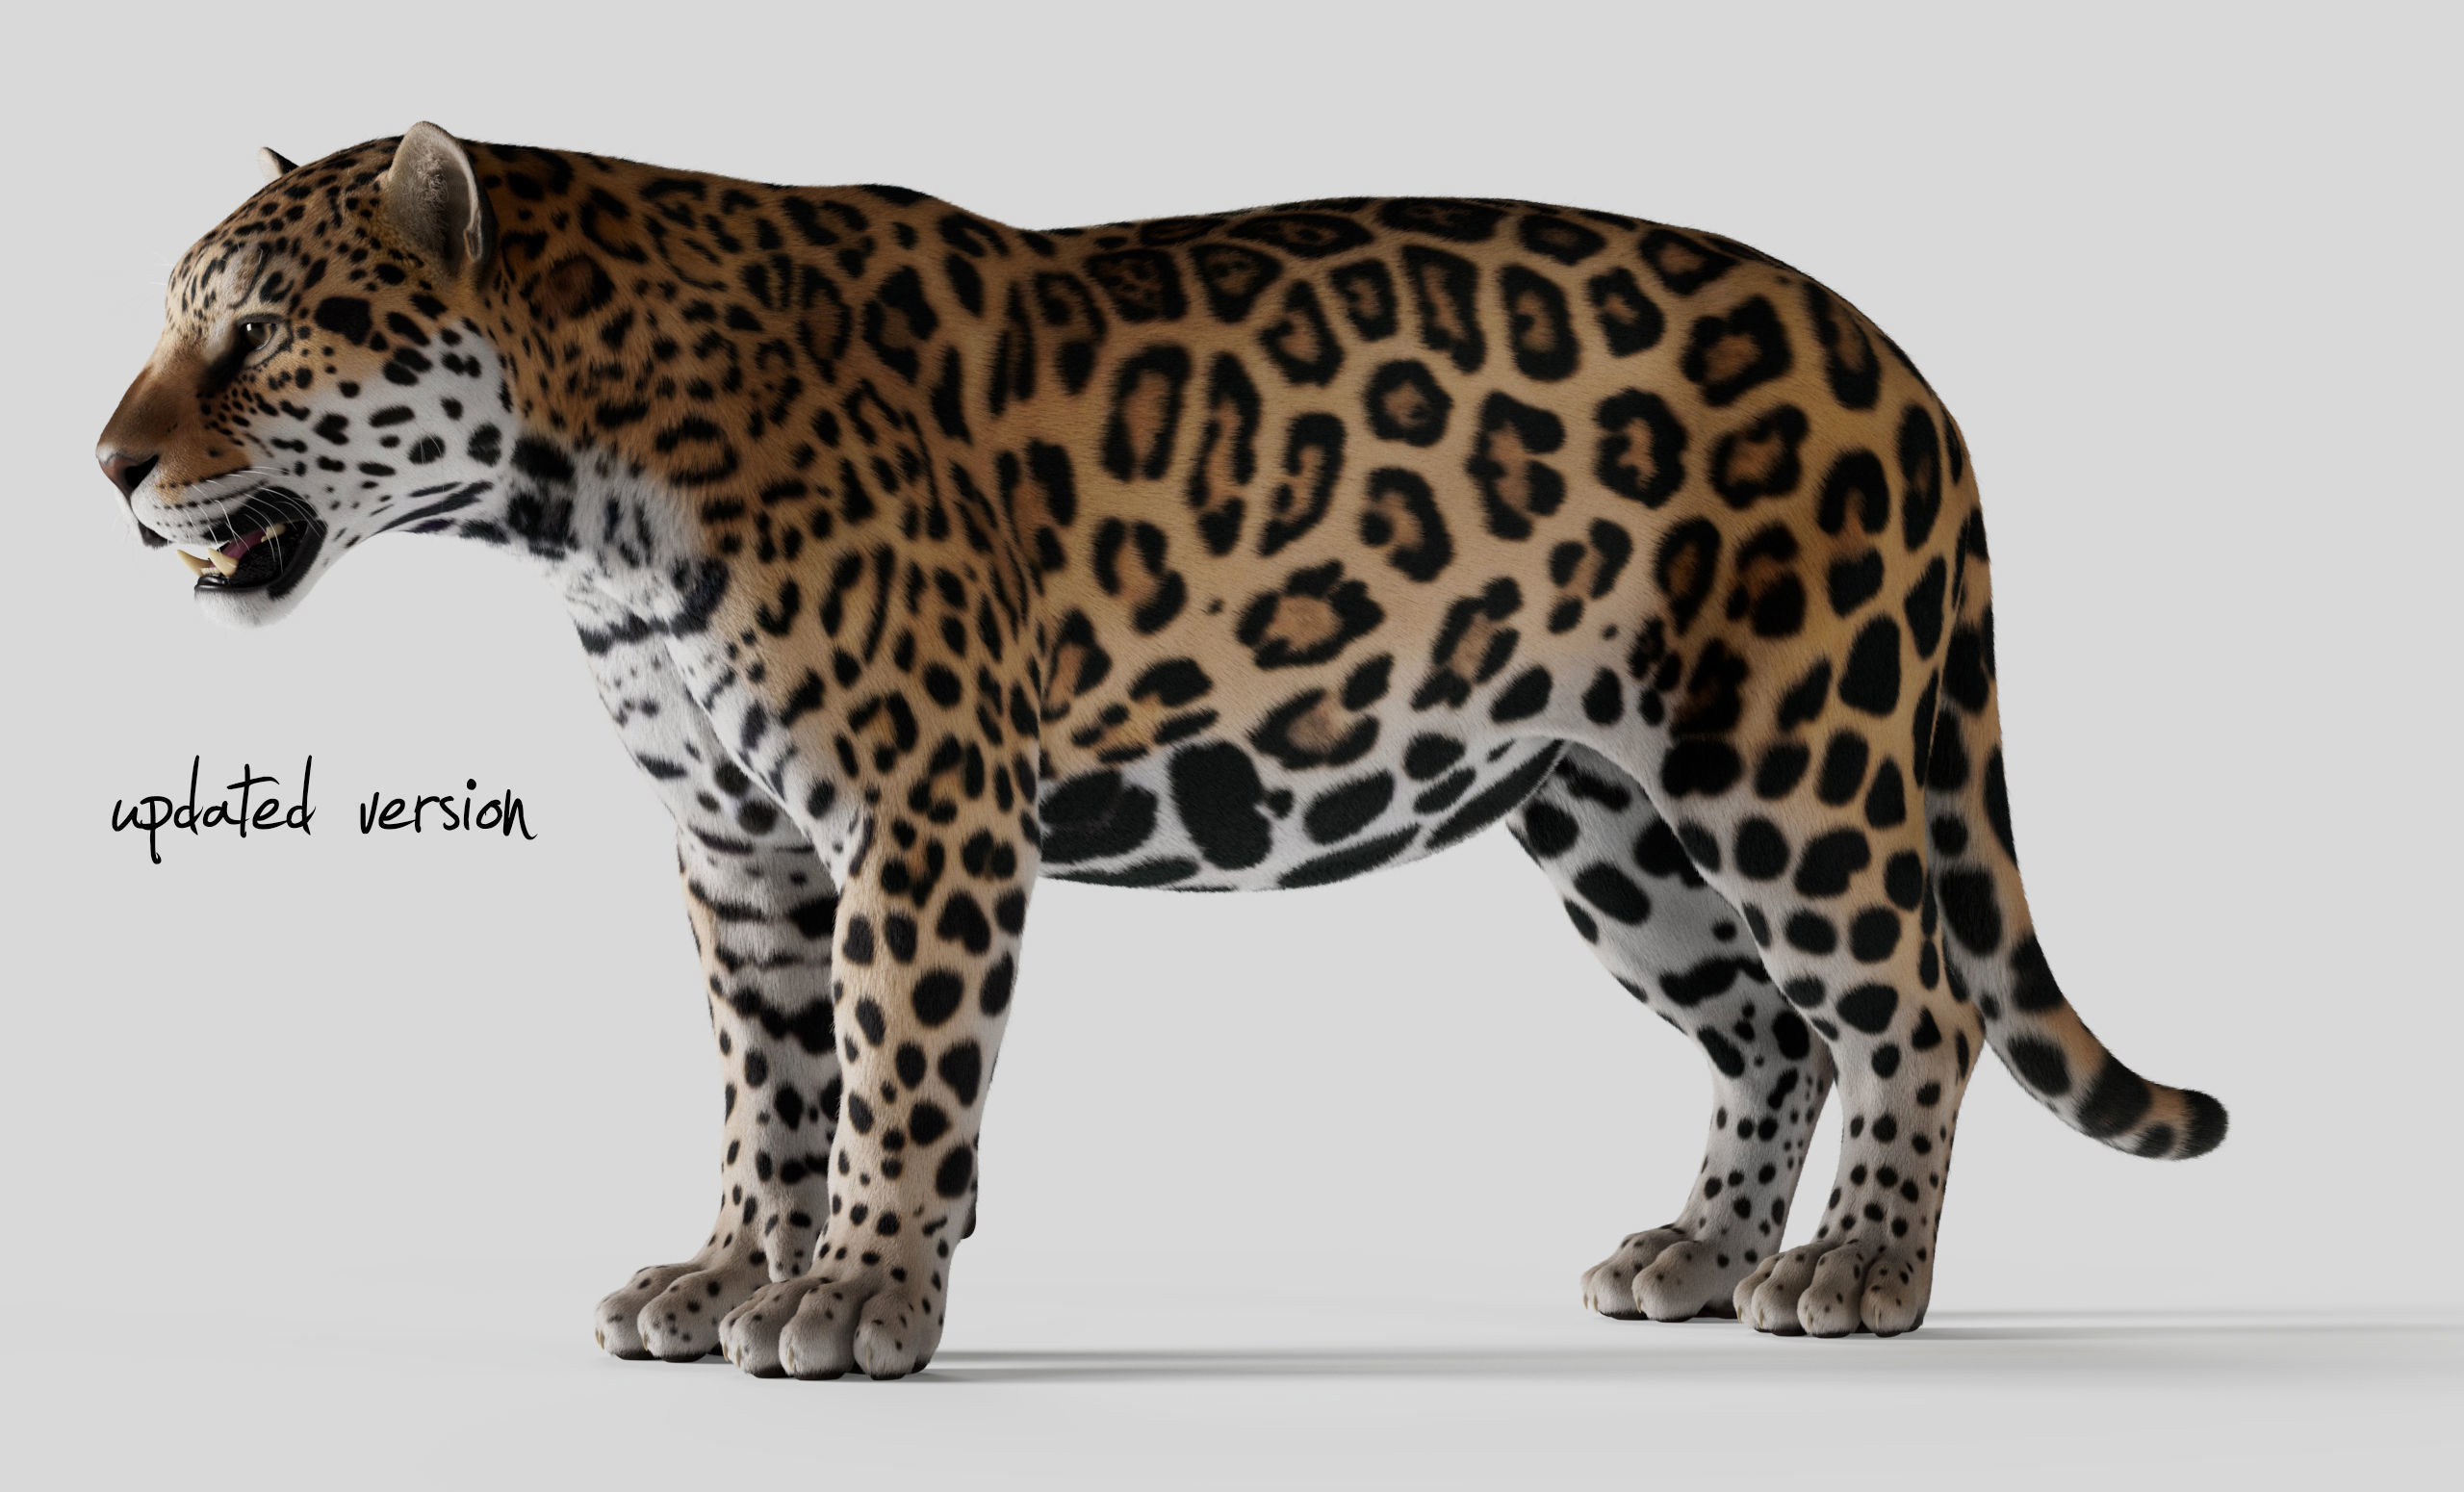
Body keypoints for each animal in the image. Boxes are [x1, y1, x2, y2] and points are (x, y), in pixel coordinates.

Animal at [97, 124, 2226, 1379]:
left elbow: (895, 1072)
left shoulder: (919, 810)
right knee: (1769, 1027)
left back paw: (1857, 1277)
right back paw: (1695, 1254)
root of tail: (1901, 362)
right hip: (1605, 808)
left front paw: (861, 1295)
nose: (107, 463)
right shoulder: (739, 849)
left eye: (266, 332)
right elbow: (766, 1083)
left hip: (1786, 748)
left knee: (1908, 1006)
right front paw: (726, 1275)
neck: (576, 488)